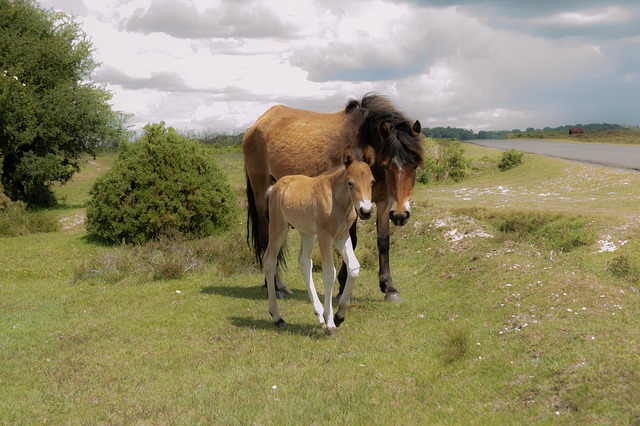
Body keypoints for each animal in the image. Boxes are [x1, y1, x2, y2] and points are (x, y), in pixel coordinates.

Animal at [242, 93, 422, 302]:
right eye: (386, 164)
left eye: (414, 165)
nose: (401, 215)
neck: (364, 142)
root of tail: (255, 126)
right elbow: (351, 240)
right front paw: (344, 287)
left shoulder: (384, 202)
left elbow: (383, 241)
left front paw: (389, 287)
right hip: (261, 191)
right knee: (266, 237)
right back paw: (277, 286)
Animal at [262, 150, 376, 332]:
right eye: (350, 183)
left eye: (372, 181)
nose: (366, 211)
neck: (337, 199)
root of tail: (275, 187)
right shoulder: (325, 237)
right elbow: (329, 273)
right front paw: (330, 322)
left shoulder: (342, 235)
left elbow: (354, 267)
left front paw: (339, 315)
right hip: (279, 228)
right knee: (269, 261)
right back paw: (277, 316)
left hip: (307, 232)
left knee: (304, 262)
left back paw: (318, 314)